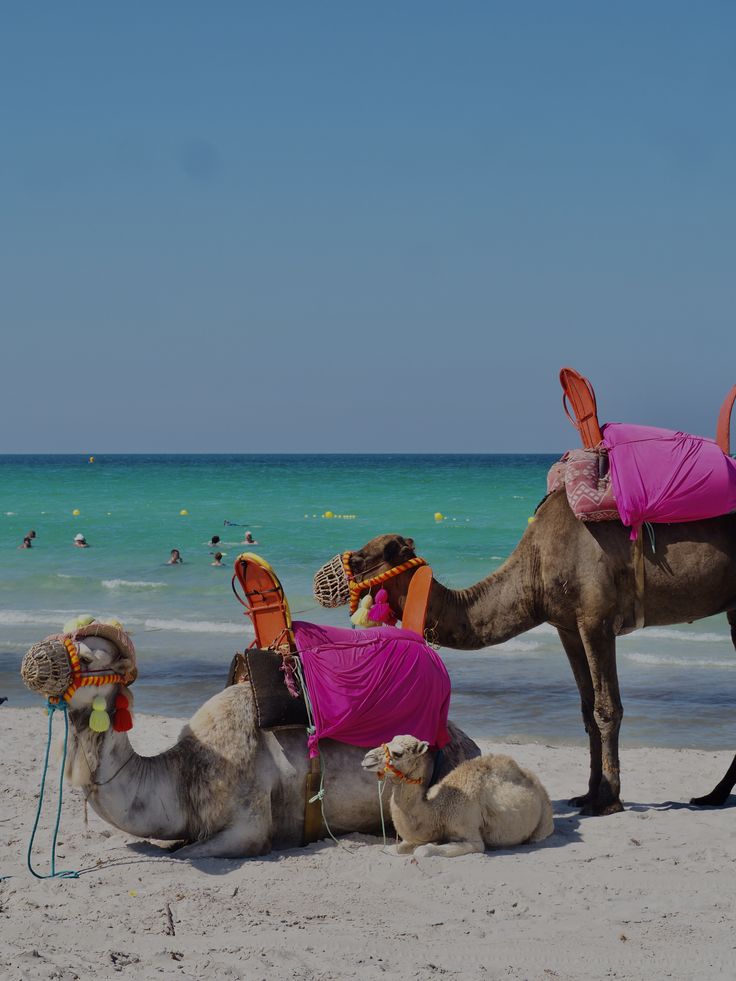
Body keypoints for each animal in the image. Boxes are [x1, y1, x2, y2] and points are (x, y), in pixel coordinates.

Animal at [25, 633, 480, 858]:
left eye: (87, 657)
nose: (35, 661)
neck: (184, 774)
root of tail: (470, 743)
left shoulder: (249, 825)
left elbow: (185, 854)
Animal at [330, 493, 736, 816]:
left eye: (361, 559)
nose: (325, 582)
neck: (534, 569)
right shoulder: (567, 626)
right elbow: (586, 710)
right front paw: (587, 794)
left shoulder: (597, 618)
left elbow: (606, 708)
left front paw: (607, 800)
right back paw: (712, 796)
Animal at [361, 735, 554, 857]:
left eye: (398, 753)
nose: (366, 758)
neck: (438, 810)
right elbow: (394, 849)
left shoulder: (471, 834)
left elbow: (423, 851)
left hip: (544, 816)